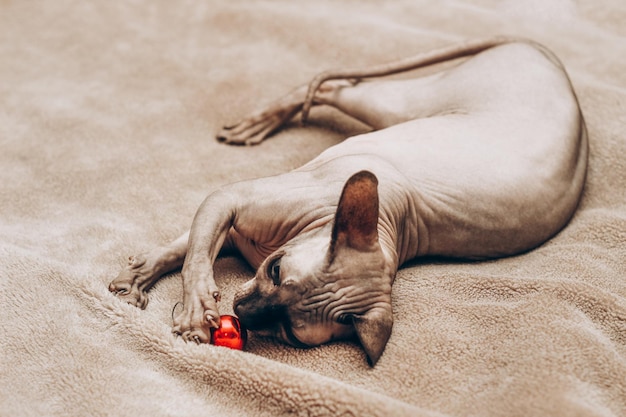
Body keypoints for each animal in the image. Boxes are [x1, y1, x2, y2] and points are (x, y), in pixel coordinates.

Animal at [108, 38, 584, 364]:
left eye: (289, 333)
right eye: (276, 271)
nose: (243, 312)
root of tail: (549, 57)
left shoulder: (231, 223)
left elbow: (190, 247)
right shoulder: (229, 202)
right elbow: (190, 256)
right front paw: (181, 300)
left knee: (331, 87)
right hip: (404, 105)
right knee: (332, 85)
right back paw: (260, 121)